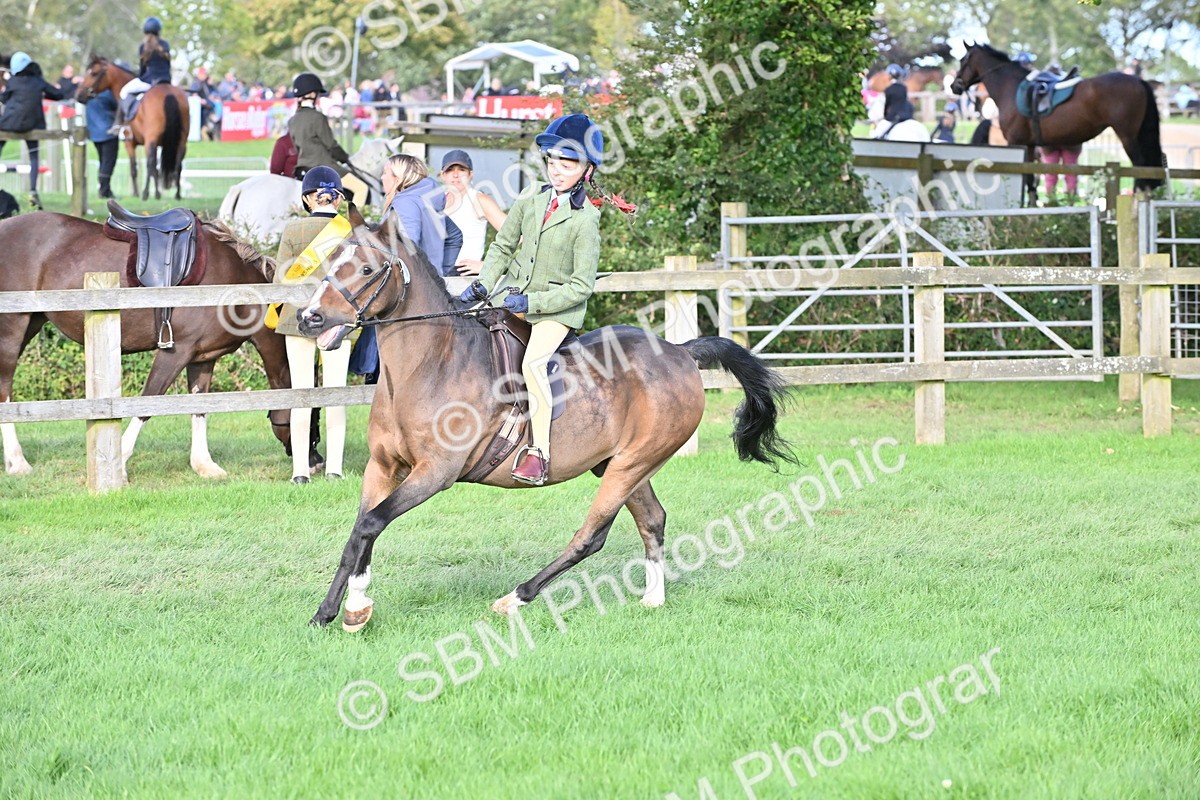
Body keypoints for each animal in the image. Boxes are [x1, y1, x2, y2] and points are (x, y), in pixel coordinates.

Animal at [0, 213, 321, 480]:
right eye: (312, 417)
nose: (316, 462)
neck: (233, 284)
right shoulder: (176, 351)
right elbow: (148, 402)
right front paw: (121, 463)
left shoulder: (203, 358)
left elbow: (200, 408)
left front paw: (204, 465)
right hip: (12, 329)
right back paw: (17, 463)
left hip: (31, 323)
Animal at [75, 55, 190, 201]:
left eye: (93, 73)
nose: (79, 95)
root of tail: (169, 92)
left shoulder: (129, 143)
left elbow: (134, 169)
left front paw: (137, 193)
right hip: (181, 141)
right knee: (178, 164)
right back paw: (177, 194)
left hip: (151, 141)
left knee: (151, 164)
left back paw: (147, 193)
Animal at [296, 206, 798, 632]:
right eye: (331, 259)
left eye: (366, 269)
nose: (309, 318)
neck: (430, 365)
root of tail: (680, 351)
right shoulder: (384, 467)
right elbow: (359, 533)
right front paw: (333, 611)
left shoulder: (435, 472)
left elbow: (371, 524)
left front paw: (352, 610)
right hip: (627, 465)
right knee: (652, 519)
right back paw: (653, 599)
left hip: (631, 463)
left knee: (592, 535)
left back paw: (515, 598)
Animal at [950, 43, 1164, 197]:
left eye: (963, 60)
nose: (954, 86)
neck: (1011, 88)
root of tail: (1138, 80)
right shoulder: (1028, 146)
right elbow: (1030, 180)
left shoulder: (1015, 142)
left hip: (1128, 136)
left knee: (1141, 165)